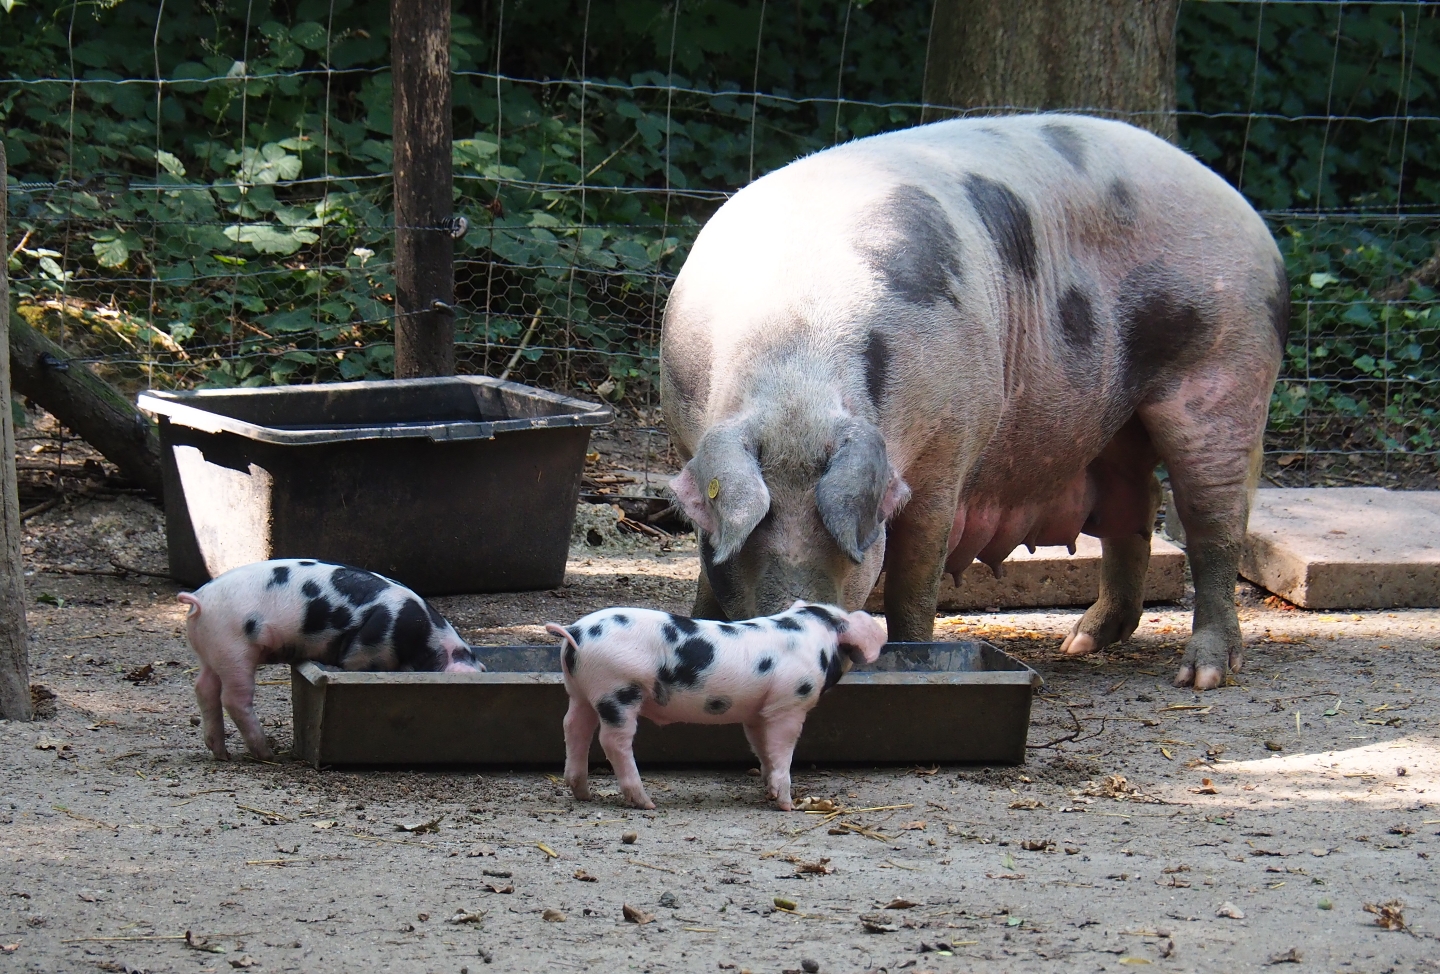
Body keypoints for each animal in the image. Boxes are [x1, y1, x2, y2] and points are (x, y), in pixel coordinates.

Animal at [179, 559, 481, 760]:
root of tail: (198, 600)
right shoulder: (369, 648)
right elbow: (357, 664)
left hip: (213, 651)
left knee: (204, 688)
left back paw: (221, 753)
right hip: (235, 649)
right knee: (234, 698)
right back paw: (267, 753)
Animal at [545, 602, 887, 810]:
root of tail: (575, 633)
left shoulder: (757, 713)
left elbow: (762, 748)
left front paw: (767, 789)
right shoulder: (789, 702)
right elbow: (783, 750)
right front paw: (787, 804)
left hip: (580, 692)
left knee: (573, 727)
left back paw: (583, 793)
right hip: (618, 689)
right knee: (612, 740)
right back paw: (646, 802)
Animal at [660, 114, 1286, 691]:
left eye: (851, 539)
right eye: (753, 531)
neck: (796, 384)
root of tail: (1249, 216)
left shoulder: (946, 449)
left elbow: (915, 579)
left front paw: (914, 657)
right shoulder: (690, 440)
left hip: (1226, 371)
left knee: (1213, 522)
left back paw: (1201, 675)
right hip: (1117, 419)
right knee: (1135, 503)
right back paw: (1081, 642)